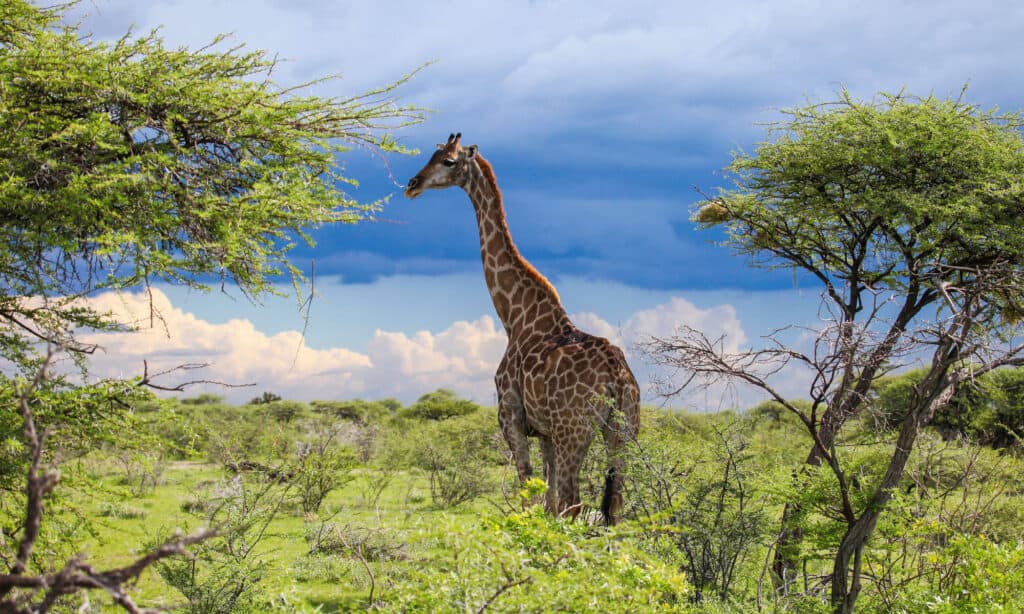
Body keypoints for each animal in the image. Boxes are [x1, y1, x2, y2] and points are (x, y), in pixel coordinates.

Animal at [405, 133, 638, 521]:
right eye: (431, 155)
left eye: (449, 161)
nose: (412, 184)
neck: (515, 318)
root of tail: (616, 378)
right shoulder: (544, 432)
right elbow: (547, 500)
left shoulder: (511, 418)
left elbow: (530, 493)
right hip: (624, 433)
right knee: (615, 508)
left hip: (575, 432)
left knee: (574, 503)